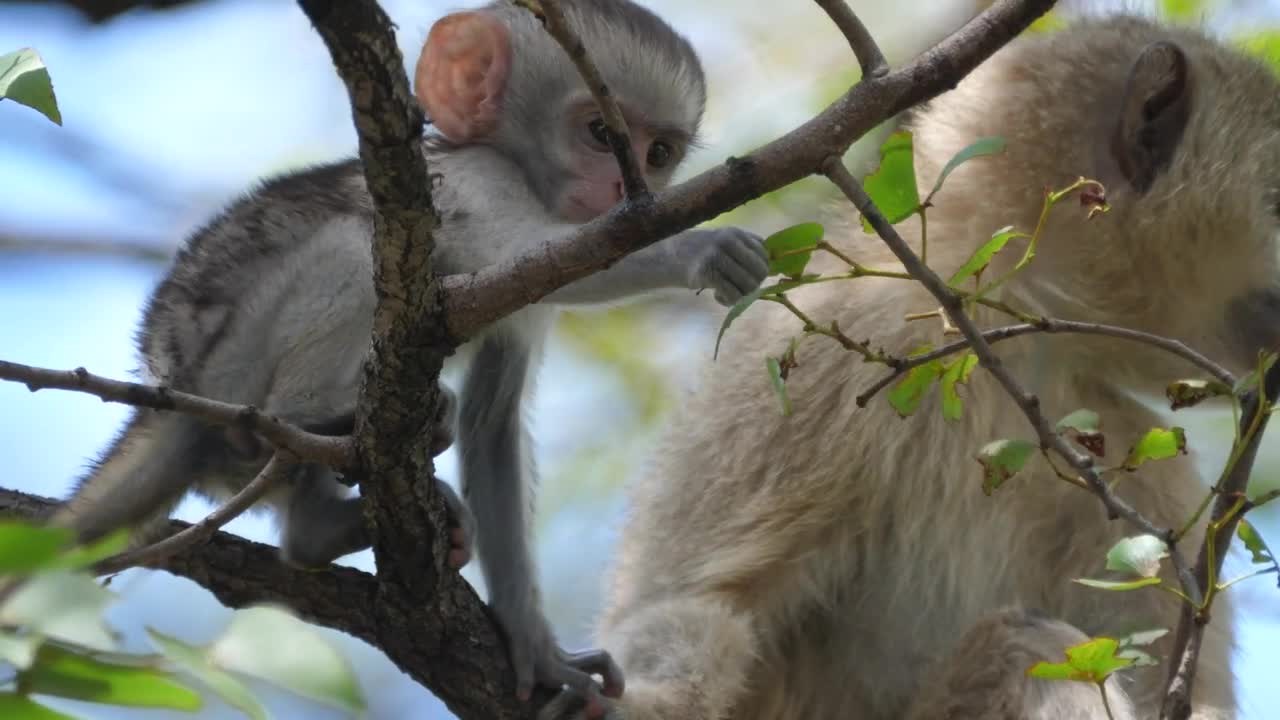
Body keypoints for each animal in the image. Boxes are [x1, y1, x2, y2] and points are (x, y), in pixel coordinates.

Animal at [49, 0, 768, 711]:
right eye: (600, 131)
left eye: (658, 153)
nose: (626, 186)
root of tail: (169, 385)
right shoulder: (484, 184)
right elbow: (534, 253)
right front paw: (697, 251)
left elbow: (493, 424)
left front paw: (537, 649)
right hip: (233, 365)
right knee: (347, 243)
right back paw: (318, 441)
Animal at [537, 12, 1280, 720]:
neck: (1011, 344)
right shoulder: (845, 336)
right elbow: (702, 605)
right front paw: (647, 701)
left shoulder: (1134, 456)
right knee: (1028, 647)